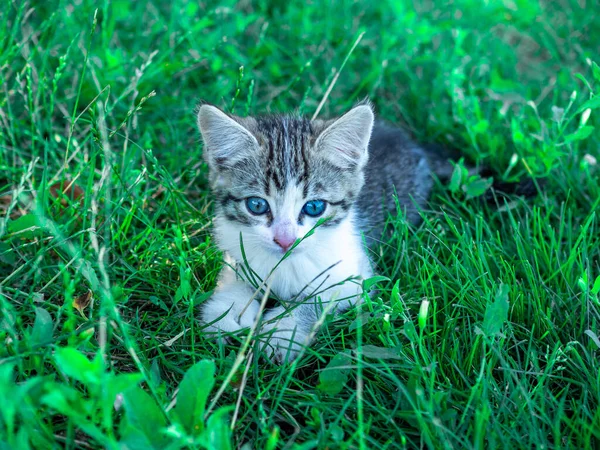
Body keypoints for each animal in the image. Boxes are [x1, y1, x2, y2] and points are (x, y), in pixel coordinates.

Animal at [197, 102, 454, 362]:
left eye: (314, 207)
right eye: (257, 205)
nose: (285, 240)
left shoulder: (355, 276)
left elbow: (318, 298)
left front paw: (281, 333)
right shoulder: (237, 251)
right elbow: (235, 279)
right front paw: (226, 314)